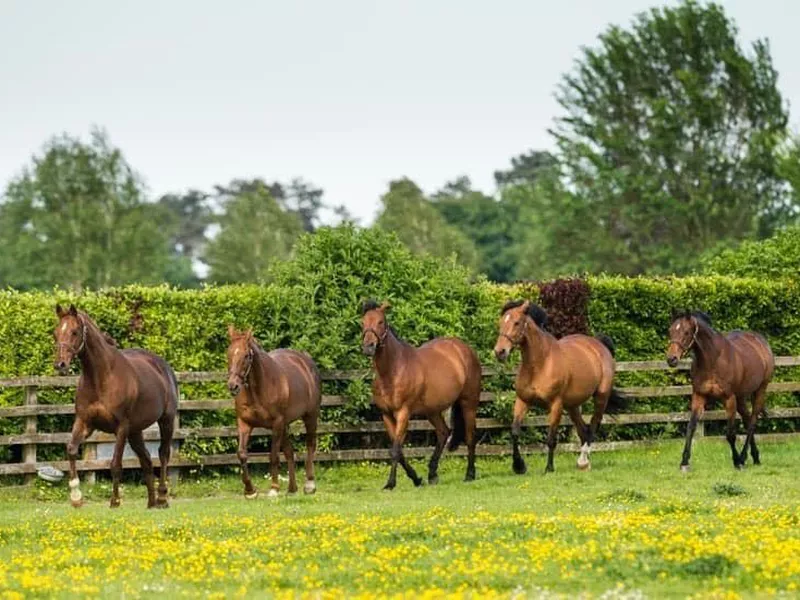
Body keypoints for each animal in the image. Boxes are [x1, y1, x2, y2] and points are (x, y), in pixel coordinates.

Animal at [53, 304, 178, 506]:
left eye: (74, 332)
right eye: (55, 333)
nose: (60, 364)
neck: (101, 377)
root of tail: (163, 366)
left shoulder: (121, 427)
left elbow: (115, 464)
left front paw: (115, 501)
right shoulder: (84, 423)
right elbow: (71, 450)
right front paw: (76, 497)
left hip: (166, 421)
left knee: (163, 453)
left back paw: (161, 498)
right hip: (135, 432)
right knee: (146, 460)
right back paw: (151, 503)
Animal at [225, 326, 322, 500]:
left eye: (246, 355)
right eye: (228, 353)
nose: (233, 386)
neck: (258, 389)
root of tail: (306, 360)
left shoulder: (276, 424)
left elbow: (273, 456)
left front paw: (274, 489)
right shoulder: (244, 423)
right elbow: (241, 454)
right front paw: (250, 491)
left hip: (310, 416)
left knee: (310, 444)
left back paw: (309, 485)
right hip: (285, 425)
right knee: (290, 451)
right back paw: (292, 488)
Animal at [362, 298, 482, 488]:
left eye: (380, 322)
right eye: (363, 322)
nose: (368, 347)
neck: (393, 370)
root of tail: (464, 349)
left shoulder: (403, 413)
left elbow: (395, 449)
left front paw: (390, 483)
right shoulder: (386, 415)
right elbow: (398, 451)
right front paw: (416, 479)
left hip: (468, 403)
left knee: (470, 436)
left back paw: (469, 474)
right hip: (432, 410)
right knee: (443, 432)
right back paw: (432, 474)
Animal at [490, 302, 620, 476]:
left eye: (517, 322)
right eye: (501, 322)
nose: (500, 352)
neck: (540, 364)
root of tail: (599, 345)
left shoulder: (555, 405)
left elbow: (551, 439)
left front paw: (549, 468)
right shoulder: (523, 401)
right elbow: (515, 432)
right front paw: (519, 466)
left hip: (600, 397)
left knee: (593, 425)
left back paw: (583, 461)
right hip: (572, 406)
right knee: (583, 429)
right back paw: (583, 464)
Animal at [668, 312, 776, 472]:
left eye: (686, 332)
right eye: (670, 331)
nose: (671, 359)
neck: (712, 360)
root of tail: (761, 341)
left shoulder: (729, 399)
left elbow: (730, 434)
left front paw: (736, 462)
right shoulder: (699, 396)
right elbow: (691, 428)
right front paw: (684, 462)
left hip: (760, 390)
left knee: (752, 423)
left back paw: (743, 458)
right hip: (741, 397)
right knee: (747, 419)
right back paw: (755, 457)